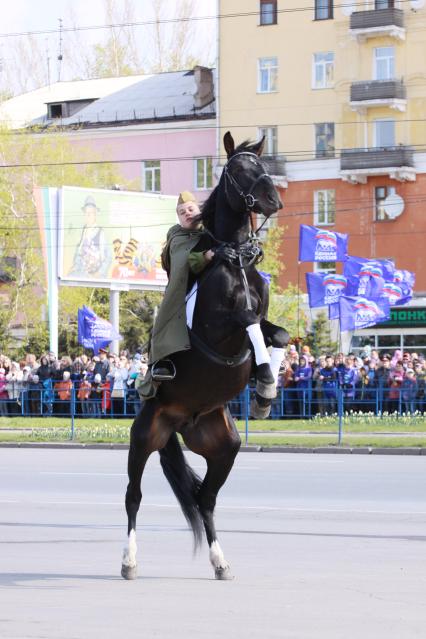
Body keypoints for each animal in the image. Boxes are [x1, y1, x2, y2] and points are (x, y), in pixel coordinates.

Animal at [121, 132, 292, 584]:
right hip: (144, 438)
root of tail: (182, 421)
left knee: (205, 499)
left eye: (261, 164)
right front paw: (265, 383)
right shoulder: (220, 327)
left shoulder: (262, 320)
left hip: (224, 448)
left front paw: (266, 389)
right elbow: (249, 323)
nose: (272, 199)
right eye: (238, 169)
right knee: (133, 496)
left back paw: (220, 561)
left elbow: (277, 334)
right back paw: (129, 561)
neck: (234, 260)